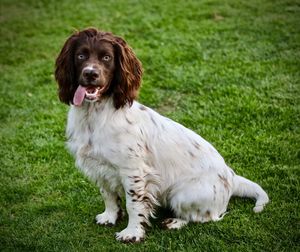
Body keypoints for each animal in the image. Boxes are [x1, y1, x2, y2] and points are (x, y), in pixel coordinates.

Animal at [54, 27, 270, 242]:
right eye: (81, 55)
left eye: (106, 57)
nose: (90, 73)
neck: (95, 115)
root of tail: (232, 178)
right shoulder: (98, 166)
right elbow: (108, 194)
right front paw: (109, 217)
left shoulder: (133, 171)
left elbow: (133, 205)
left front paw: (132, 233)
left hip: (182, 195)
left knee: (205, 217)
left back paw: (174, 222)